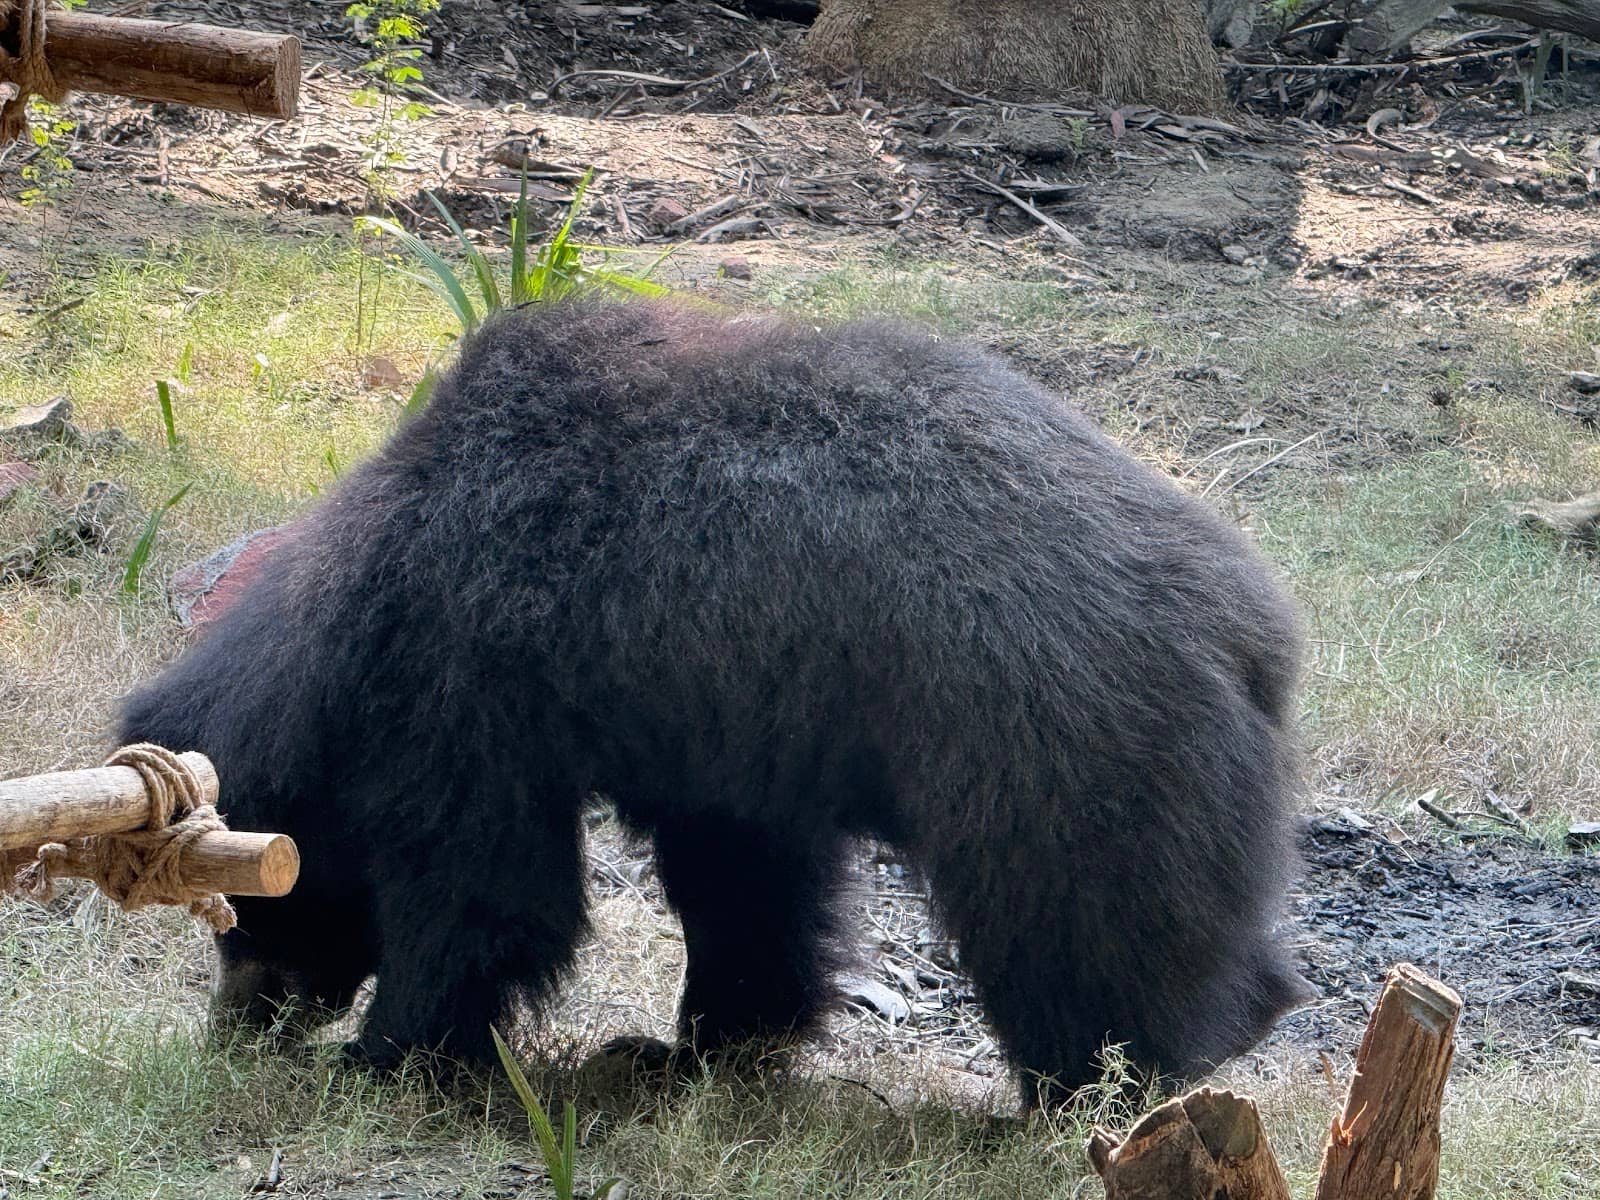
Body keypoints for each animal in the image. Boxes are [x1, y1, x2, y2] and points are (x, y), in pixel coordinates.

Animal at [119, 298, 1307, 1107]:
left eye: (258, 902)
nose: (239, 1024)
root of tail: (1254, 627)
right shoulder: (722, 727)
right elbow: (744, 884)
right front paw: (692, 1047)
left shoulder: (477, 690)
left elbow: (482, 889)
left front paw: (383, 1056)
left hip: (1053, 748)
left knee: (1079, 927)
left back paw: (1115, 1083)